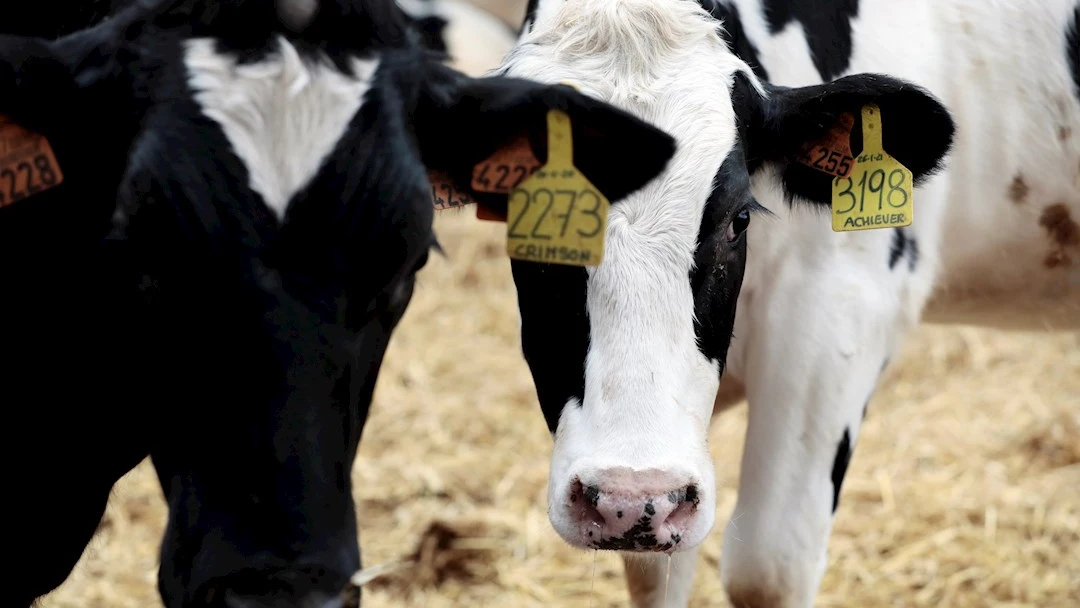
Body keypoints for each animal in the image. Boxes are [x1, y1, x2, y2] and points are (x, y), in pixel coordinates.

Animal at [483, 0, 1079, 606]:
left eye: (740, 219)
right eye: (520, 217)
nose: (629, 498)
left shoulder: (841, 304)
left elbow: (769, 567)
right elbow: (657, 574)